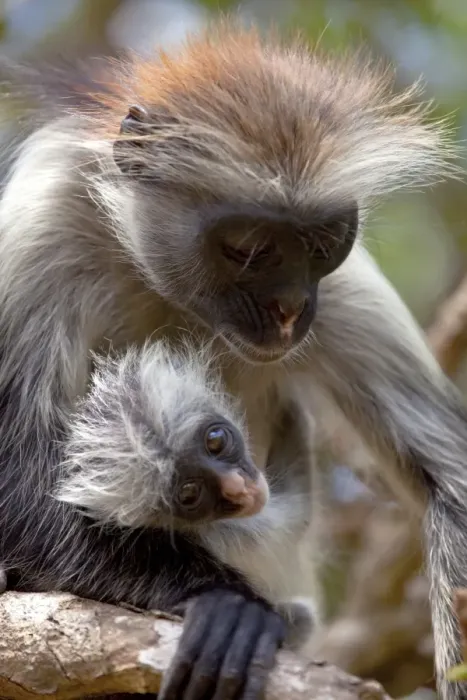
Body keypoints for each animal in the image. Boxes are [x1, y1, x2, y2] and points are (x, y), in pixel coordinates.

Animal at [0, 20, 464, 699]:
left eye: (322, 243)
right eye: (248, 248)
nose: (289, 308)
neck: (170, 291)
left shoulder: (340, 289)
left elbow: (450, 486)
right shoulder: (47, 221)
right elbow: (15, 494)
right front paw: (227, 604)